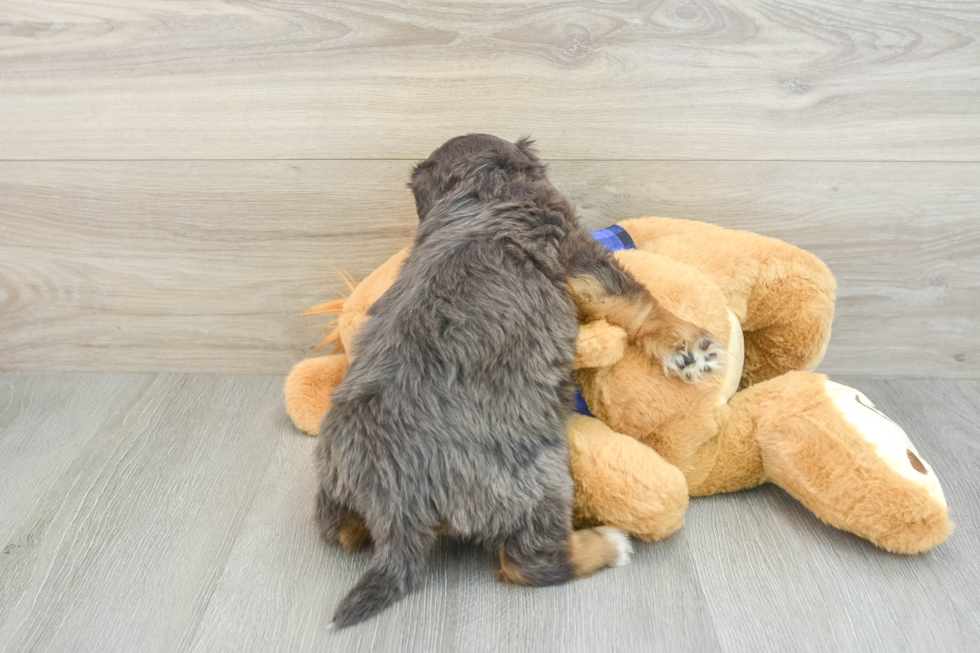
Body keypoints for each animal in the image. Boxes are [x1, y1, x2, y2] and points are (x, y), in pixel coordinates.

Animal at [318, 135, 724, 628]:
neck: (483, 189)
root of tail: (395, 503)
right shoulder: (576, 254)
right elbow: (636, 301)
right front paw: (691, 347)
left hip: (335, 497)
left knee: (343, 536)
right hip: (536, 482)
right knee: (528, 562)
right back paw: (608, 545)